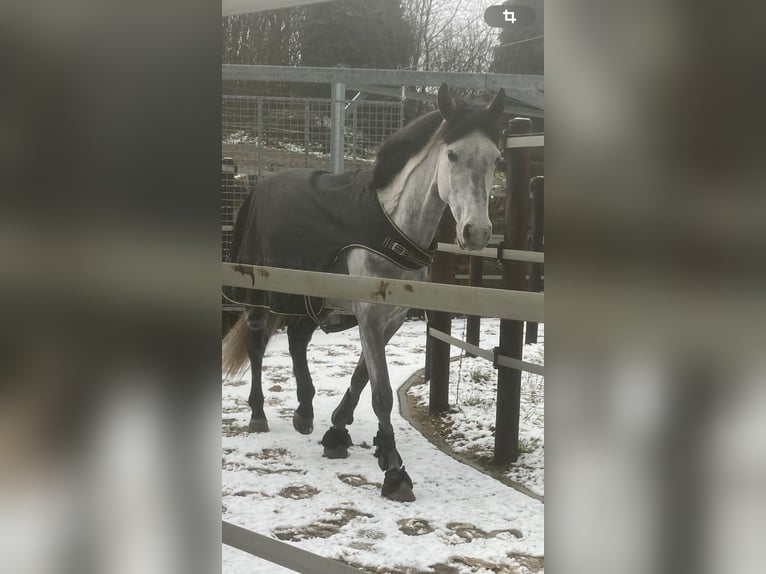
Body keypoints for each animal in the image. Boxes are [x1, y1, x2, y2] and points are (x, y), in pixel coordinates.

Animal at [224, 83, 504, 502]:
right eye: (452, 154)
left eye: (496, 158)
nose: (477, 232)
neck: (392, 224)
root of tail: (259, 186)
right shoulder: (368, 314)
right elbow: (382, 391)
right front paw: (394, 470)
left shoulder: (392, 317)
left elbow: (361, 377)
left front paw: (337, 432)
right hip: (261, 295)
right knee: (258, 347)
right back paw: (258, 414)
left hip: (313, 302)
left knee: (297, 340)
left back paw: (305, 412)